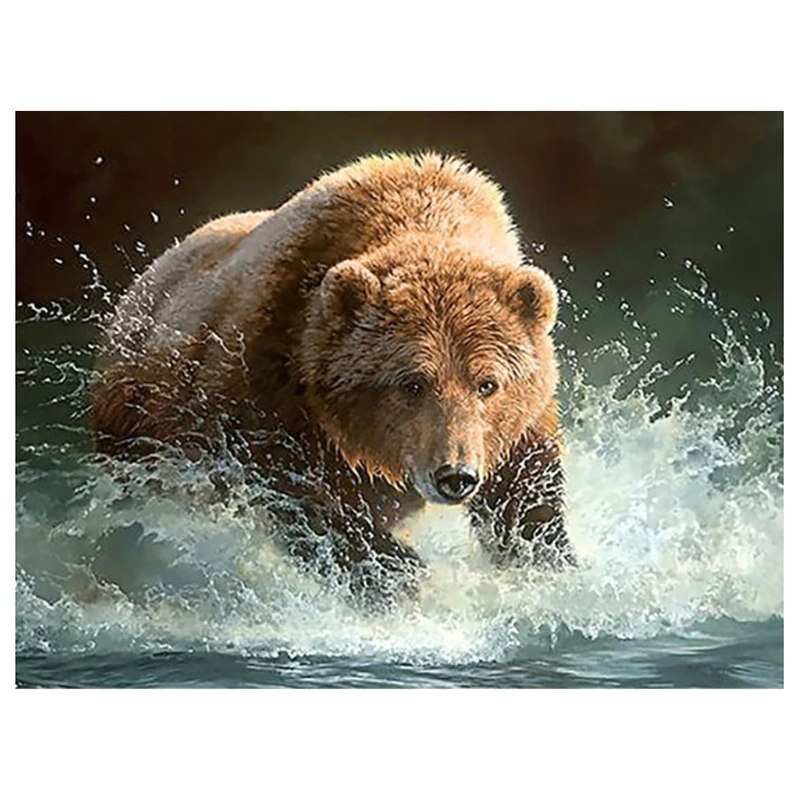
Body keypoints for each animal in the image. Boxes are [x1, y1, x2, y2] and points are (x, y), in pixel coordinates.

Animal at [92, 152, 575, 608]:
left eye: (487, 384)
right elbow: (293, 489)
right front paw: (393, 570)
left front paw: (547, 562)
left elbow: (524, 496)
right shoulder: (269, 380)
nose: (455, 475)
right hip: (136, 422)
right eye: (412, 383)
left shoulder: (518, 425)